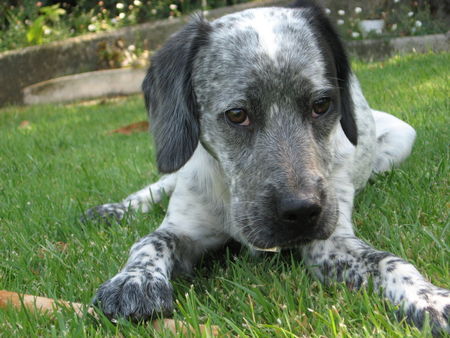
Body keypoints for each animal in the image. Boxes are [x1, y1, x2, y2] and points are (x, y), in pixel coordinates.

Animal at [86, 0, 448, 332]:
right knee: (160, 185)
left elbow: (388, 261)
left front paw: (427, 297)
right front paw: (134, 279)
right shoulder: (184, 228)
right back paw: (116, 209)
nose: (302, 211)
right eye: (237, 114)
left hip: (401, 140)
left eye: (322, 104)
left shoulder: (331, 244)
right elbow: (149, 241)